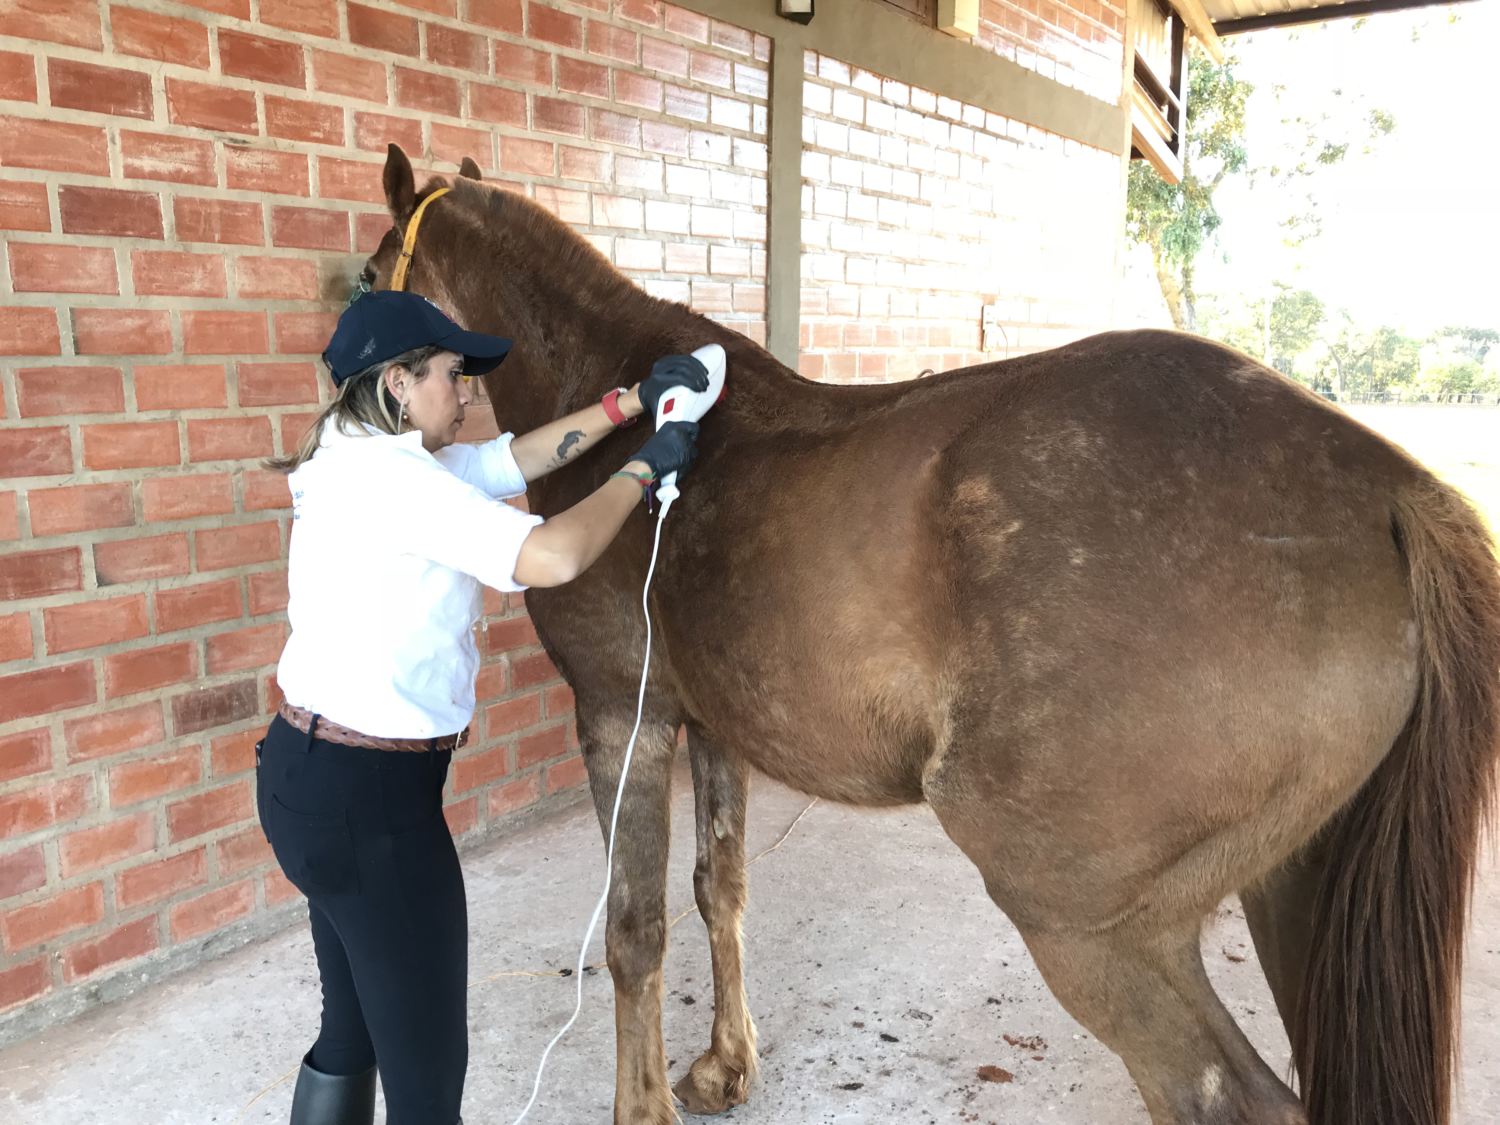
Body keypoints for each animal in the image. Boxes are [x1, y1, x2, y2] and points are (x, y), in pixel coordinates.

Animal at [363, 143, 1500, 1125]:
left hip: (1096, 929)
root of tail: (1388, 489)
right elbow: (718, 889)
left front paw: (641, 1108)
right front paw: (726, 1068)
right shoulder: (715, 728)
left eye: (372, 272)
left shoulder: (621, 717)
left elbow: (635, 929)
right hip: (1295, 892)